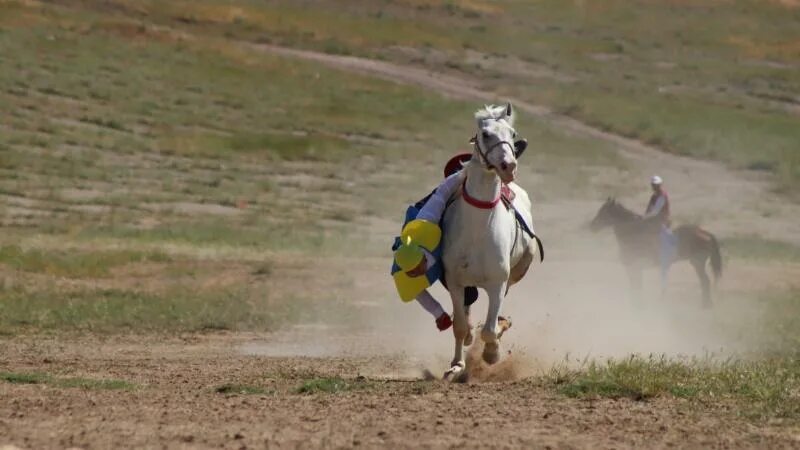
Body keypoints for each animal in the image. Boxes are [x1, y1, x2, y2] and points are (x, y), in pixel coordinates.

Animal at [440, 103, 536, 378]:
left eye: (512, 134)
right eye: (485, 134)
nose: (508, 166)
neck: (478, 230)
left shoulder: (497, 283)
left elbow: (490, 330)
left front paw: (492, 354)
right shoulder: (455, 281)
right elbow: (460, 326)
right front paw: (457, 365)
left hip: (515, 273)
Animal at [592, 197, 720, 306]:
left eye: (603, 212)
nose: (592, 226)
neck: (633, 234)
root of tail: (705, 233)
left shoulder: (634, 267)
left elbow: (636, 287)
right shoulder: (634, 268)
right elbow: (636, 286)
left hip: (697, 264)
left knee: (705, 281)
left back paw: (706, 305)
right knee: (704, 282)